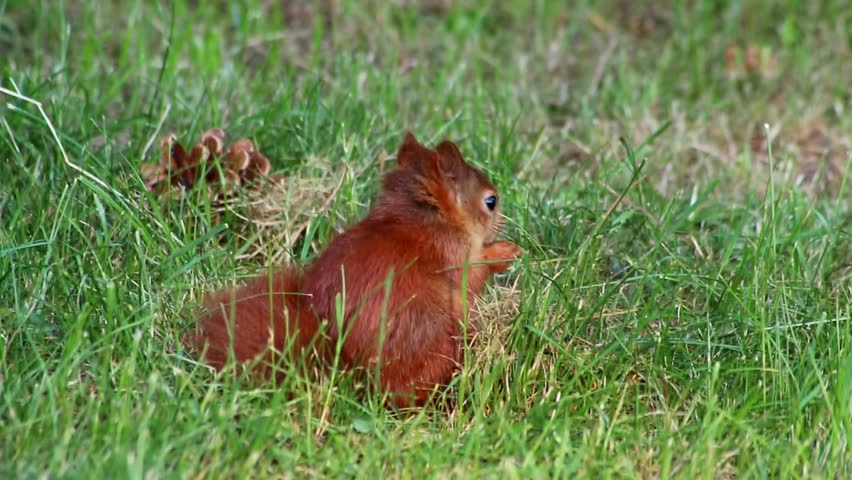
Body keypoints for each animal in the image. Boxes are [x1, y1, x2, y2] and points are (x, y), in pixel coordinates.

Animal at [185, 132, 522, 408]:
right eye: (490, 201)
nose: (503, 222)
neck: (423, 218)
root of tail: (343, 365)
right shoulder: (451, 253)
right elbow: (472, 276)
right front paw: (504, 252)